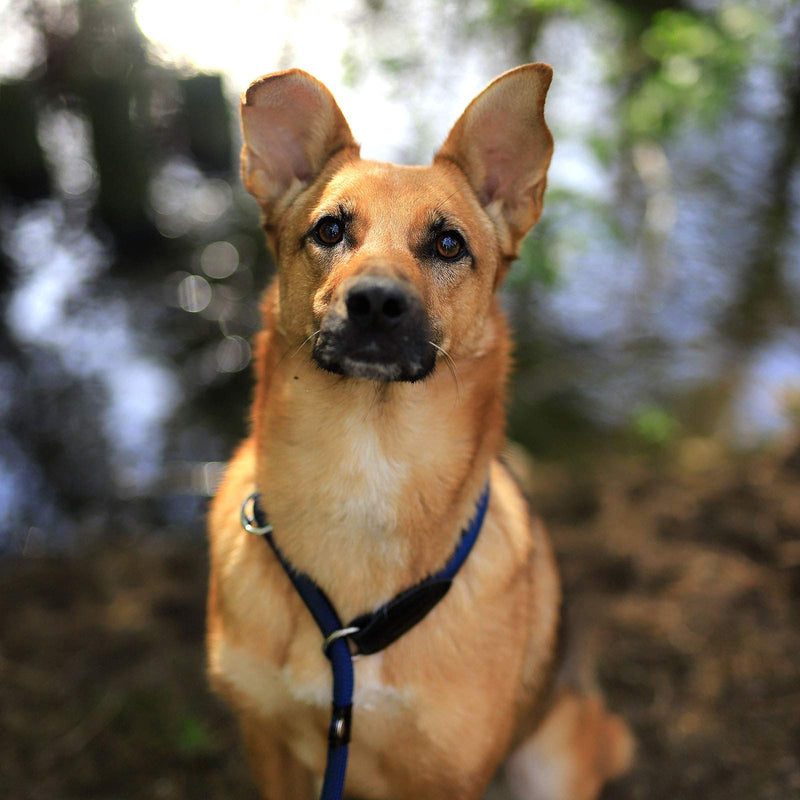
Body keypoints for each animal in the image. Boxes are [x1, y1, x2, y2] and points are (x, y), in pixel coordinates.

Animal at [206, 64, 632, 800]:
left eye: (448, 244)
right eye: (329, 230)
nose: (376, 302)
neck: (365, 465)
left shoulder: (446, 774)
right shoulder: (270, 744)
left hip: (548, 762)